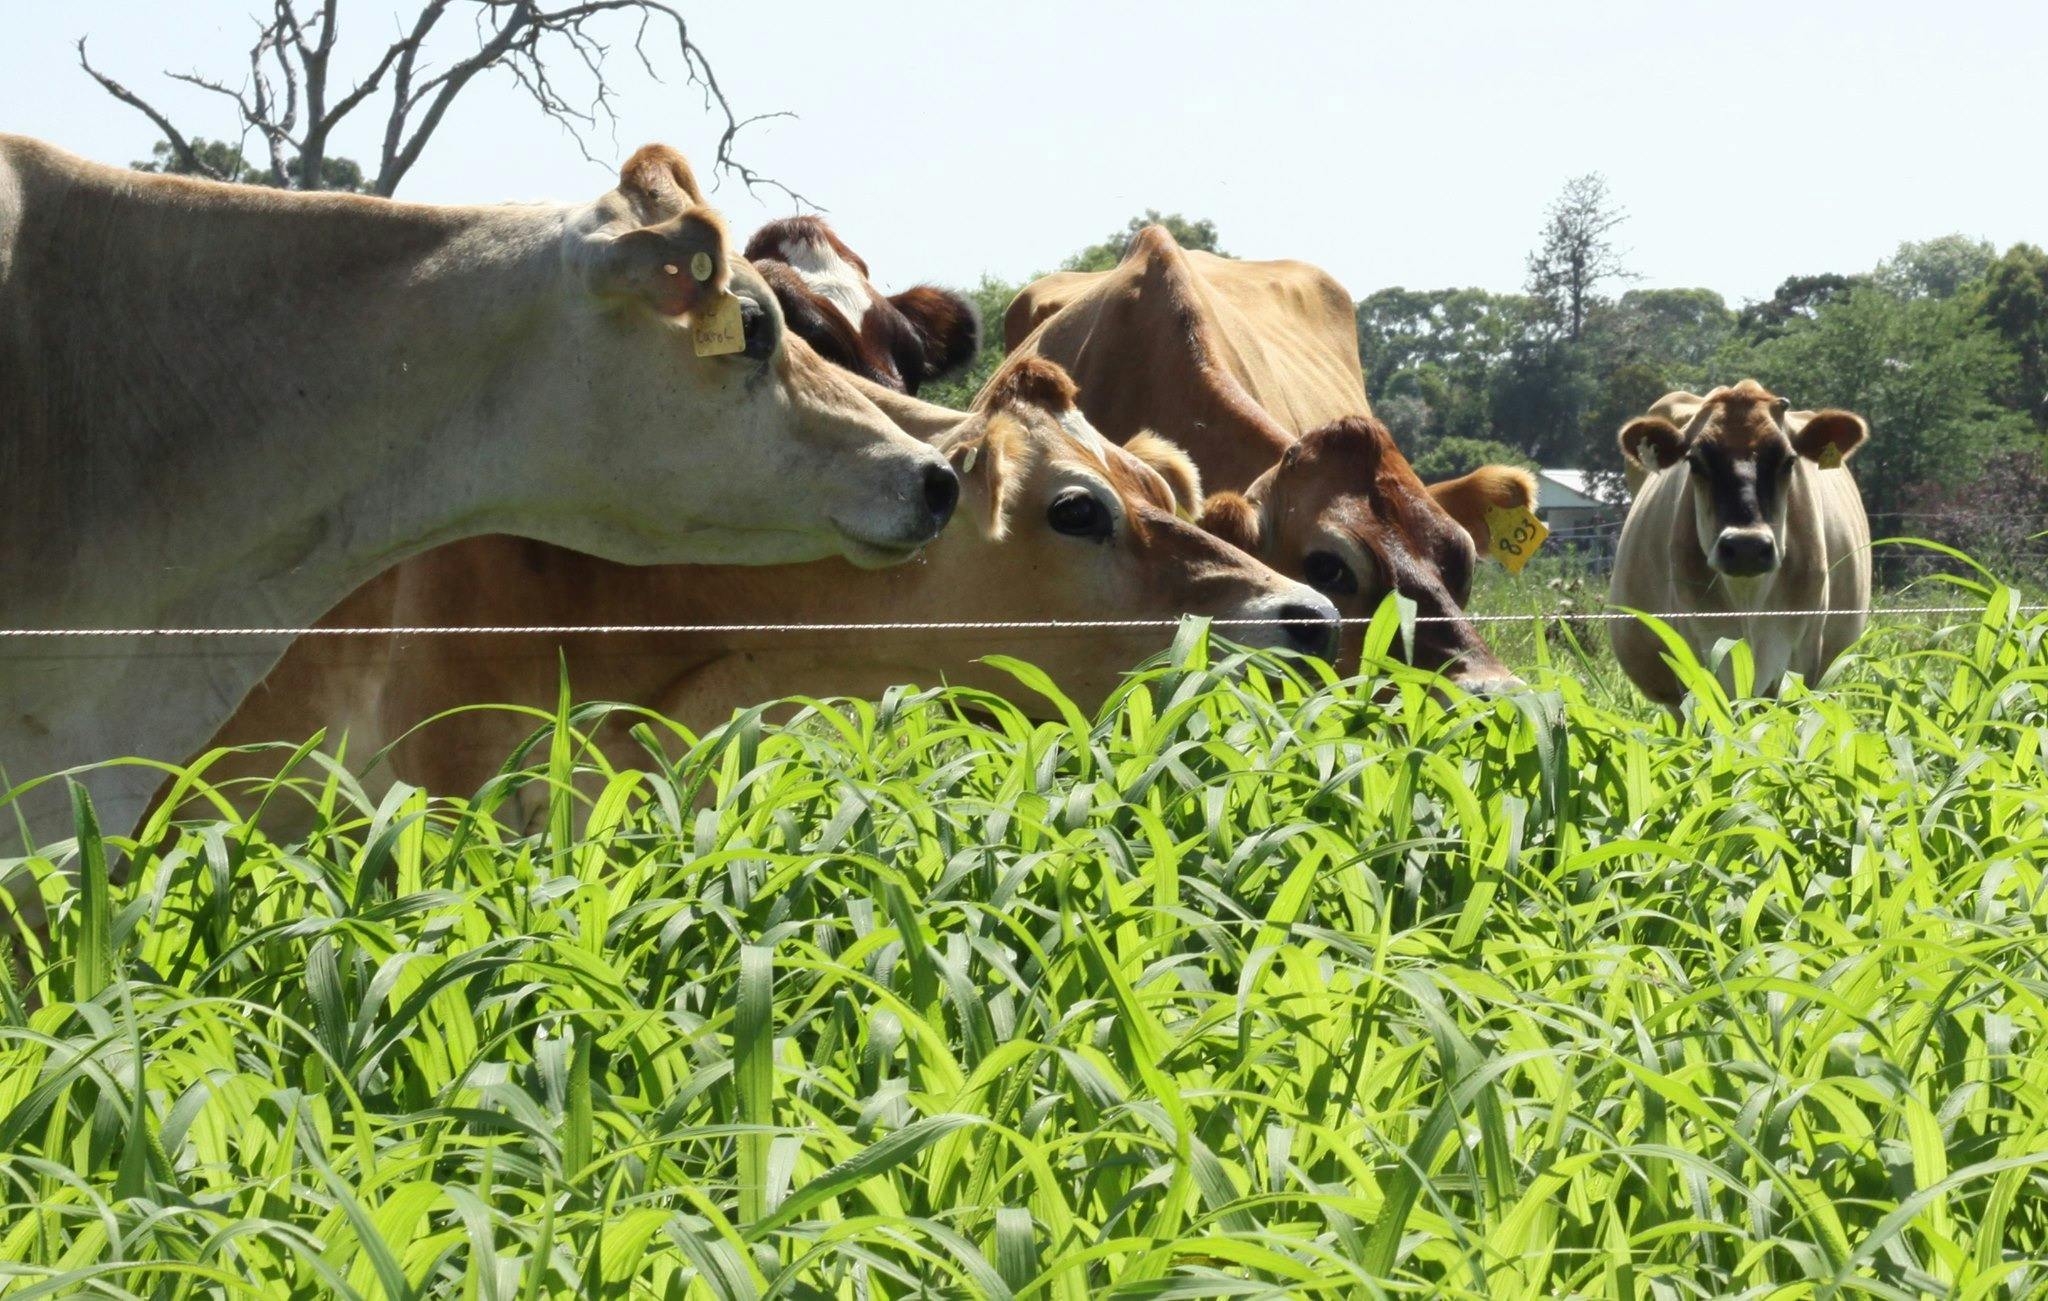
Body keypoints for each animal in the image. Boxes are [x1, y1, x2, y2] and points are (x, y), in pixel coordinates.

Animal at [1608, 380, 1872, 709]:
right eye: (1695, 461)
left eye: (1788, 460)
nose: (1747, 546)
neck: (1748, 603)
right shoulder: (1695, 655)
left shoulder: (1803, 658)